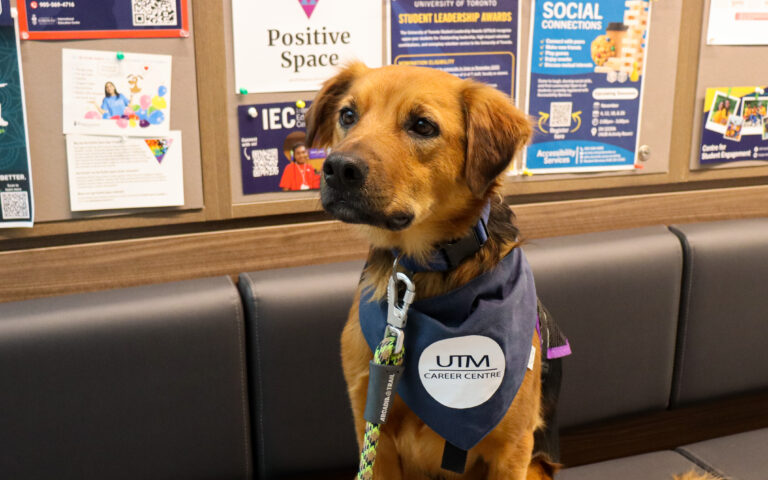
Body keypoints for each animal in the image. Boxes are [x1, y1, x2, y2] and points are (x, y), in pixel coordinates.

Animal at [304, 62, 716, 480]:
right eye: (348, 116)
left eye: (422, 125)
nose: (338, 168)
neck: (427, 273)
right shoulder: (374, 432)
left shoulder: (512, 448)